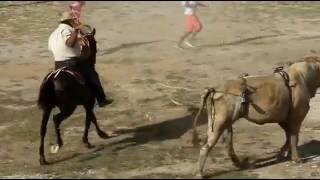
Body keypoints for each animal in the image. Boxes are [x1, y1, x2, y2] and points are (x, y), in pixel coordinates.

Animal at [37, 26, 109, 165]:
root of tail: (52, 79)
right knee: (56, 119)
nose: (96, 53)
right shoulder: (89, 102)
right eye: (94, 42)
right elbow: (90, 119)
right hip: (68, 108)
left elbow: (91, 118)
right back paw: (59, 143)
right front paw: (91, 138)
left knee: (43, 129)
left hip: (47, 109)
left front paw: (96, 136)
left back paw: (42, 157)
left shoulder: (87, 103)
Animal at [191, 56, 320, 179]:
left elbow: (288, 137)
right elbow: (294, 138)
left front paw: (281, 154)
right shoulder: (296, 118)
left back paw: (240, 164)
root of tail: (215, 90)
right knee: (207, 146)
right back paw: (200, 173)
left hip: (223, 121)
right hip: (220, 121)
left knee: (228, 142)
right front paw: (296, 159)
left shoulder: (284, 119)